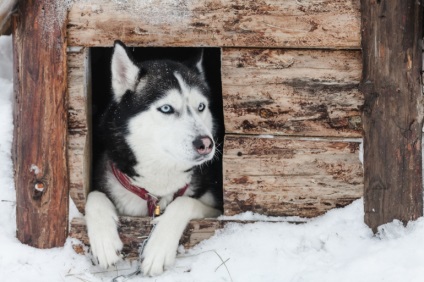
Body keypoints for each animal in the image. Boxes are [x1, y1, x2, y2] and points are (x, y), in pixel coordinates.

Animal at [84, 41, 222, 276]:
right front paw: (104, 241)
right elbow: (93, 196)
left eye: (201, 107)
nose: (206, 144)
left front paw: (158, 248)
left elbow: (184, 202)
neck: (157, 182)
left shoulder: (216, 209)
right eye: (166, 108)